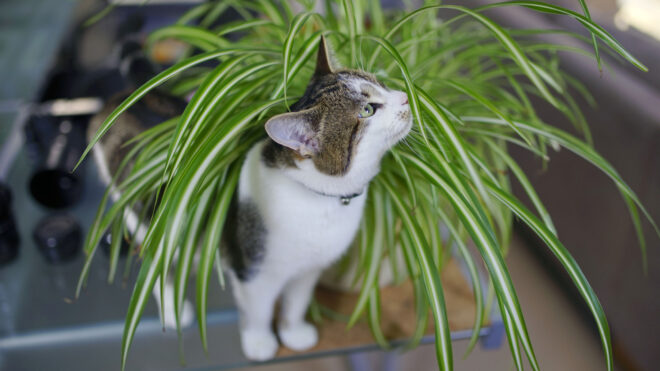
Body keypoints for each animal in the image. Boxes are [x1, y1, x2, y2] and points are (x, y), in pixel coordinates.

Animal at [89, 37, 410, 364]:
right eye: (368, 110)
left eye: (380, 83)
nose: (406, 97)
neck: (318, 200)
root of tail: (126, 97)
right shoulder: (253, 272)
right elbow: (259, 310)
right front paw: (260, 342)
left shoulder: (309, 270)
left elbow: (297, 302)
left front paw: (294, 333)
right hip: (144, 220)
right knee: (154, 265)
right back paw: (171, 308)